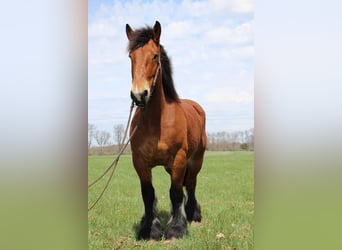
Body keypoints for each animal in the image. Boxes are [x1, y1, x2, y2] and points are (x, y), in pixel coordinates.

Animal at [125, 20, 206, 239]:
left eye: (155, 55)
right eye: (130, 57)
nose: (139, 94)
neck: (157, 122)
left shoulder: (179, 158)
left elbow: (176, 192)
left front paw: (176, 229)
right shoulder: (140, 162)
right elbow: (148, 194)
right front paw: (149, 228)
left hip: (195, 159)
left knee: (191, 184)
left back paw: (193, 215)